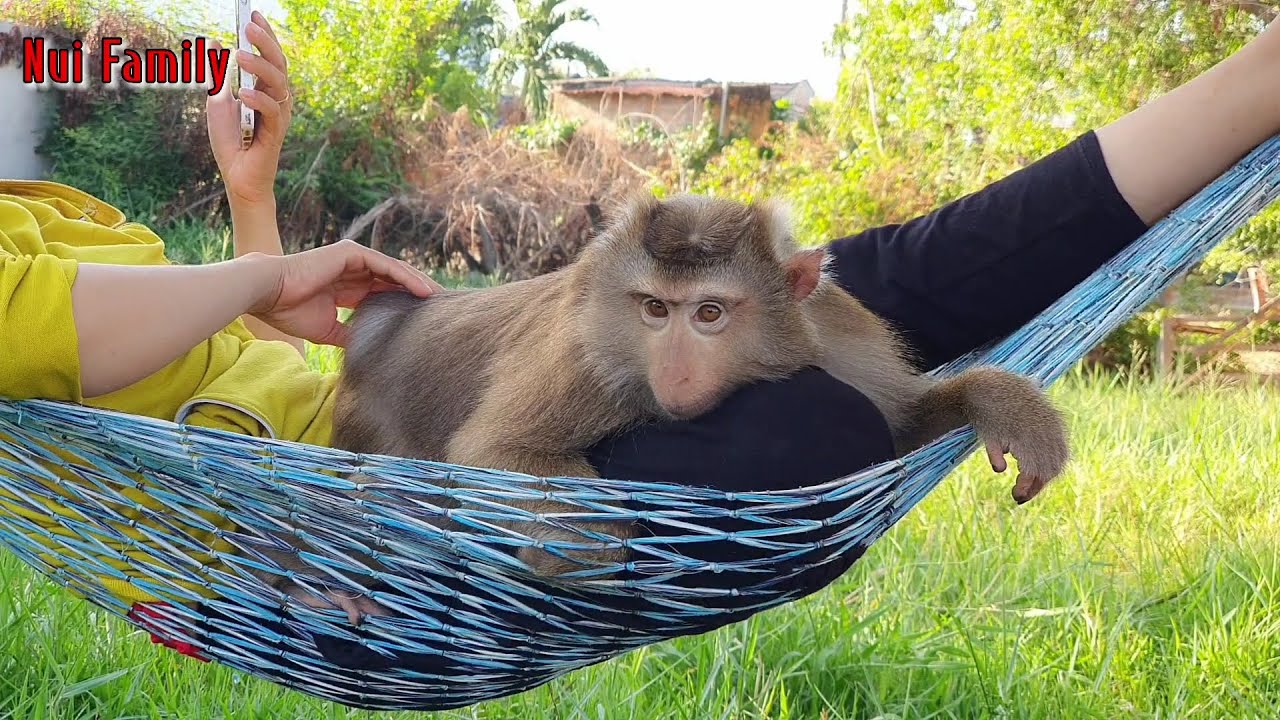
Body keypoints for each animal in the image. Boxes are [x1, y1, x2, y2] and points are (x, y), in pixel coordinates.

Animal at [255, 191, 1069, 625]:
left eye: (708, 314)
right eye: (654, 309)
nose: (675, 371)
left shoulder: (837, 343)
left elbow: (900, 426)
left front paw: (1001, 403)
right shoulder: (591, 360)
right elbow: (499, 450)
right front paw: (583, 546)